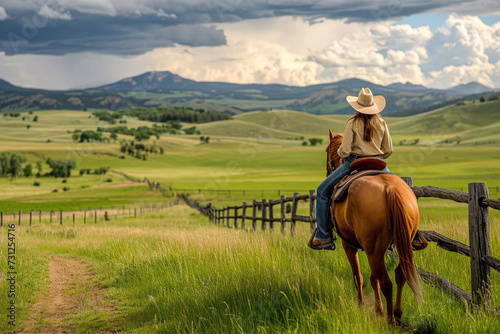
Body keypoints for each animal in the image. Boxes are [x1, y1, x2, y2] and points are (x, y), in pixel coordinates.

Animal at [326, 130, 420, 324]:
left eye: (326, 150)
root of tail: (390, 189)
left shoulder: (349, 245)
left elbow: (358, 277)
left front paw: (362, 305)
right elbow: (372, 277)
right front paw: (378, 309)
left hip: (373, 251)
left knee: (386, 282)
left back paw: (390, 319)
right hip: (400, 244)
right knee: (400, 274)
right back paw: (397, 312)